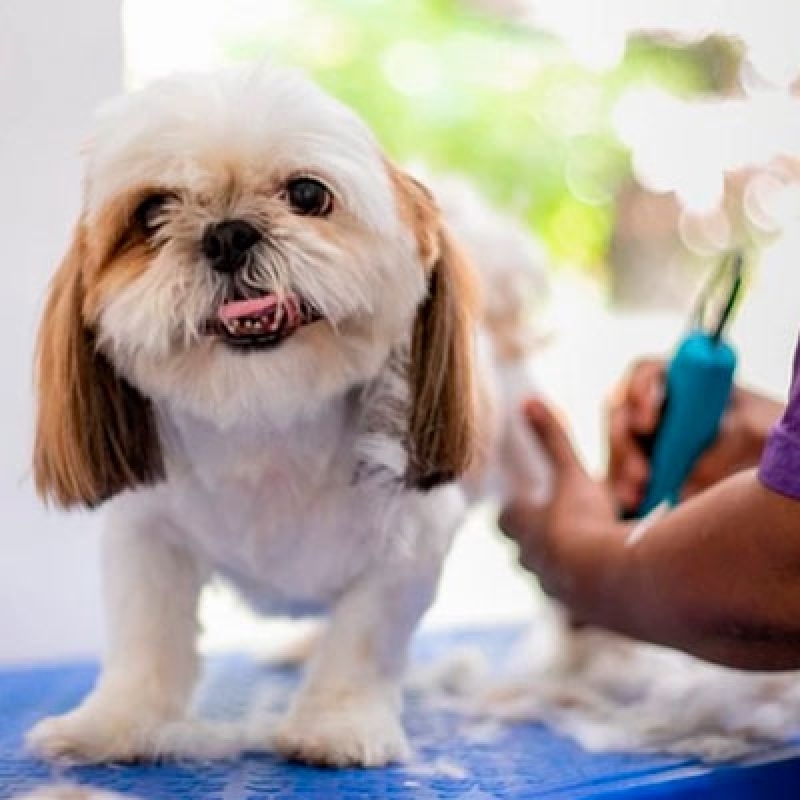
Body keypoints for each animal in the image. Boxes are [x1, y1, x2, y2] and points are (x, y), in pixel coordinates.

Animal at [28, 64, 548, 768]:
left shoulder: (409, 542)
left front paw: (338, 725)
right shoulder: (146, 536)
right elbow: (145, 640)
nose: (226, 233)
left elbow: (363, 639)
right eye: (152, 211)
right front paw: (114, 724)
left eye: (306, 193)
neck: (267, 427)